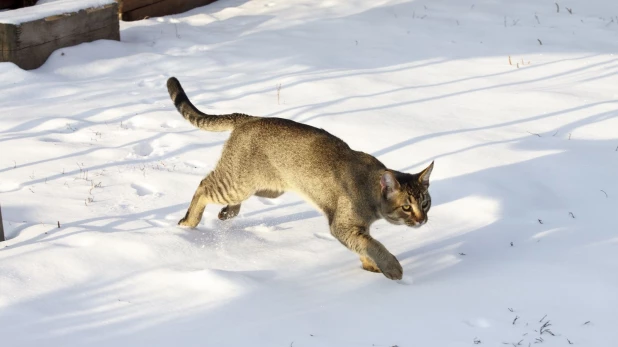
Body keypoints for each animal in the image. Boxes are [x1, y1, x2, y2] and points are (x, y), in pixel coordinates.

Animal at [166, 77, 430, 282]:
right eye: (407, 207)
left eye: (425, 203)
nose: (423, 220)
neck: (369, 190)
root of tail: (250, 118)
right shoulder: (343, 226)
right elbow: (372, 245)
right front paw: (392, 268)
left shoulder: (355, 228)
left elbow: (364, 245)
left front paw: (371, 265)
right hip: (236, 183)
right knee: (204, 186)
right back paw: (189, 221)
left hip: (267, 187)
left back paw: (227, 212)